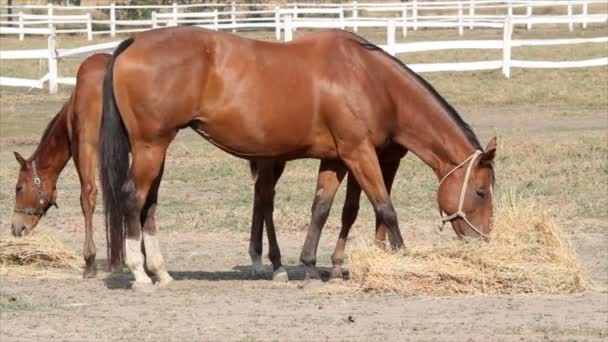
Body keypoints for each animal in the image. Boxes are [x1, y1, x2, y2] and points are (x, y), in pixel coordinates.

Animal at [10, 53, 113, 278]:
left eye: (19, 188)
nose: (16, 227)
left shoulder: (80, 148)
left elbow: (87, 196)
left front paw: (90, 260)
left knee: (89, 195)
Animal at [100, 26, 496, 290]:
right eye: (480, 191)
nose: (483, 242)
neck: (370, 79)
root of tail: (134, 42)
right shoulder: (359, 153)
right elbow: (385, 208)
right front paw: (401, 259)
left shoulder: (337, 159)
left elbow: (322, 208)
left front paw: (310, 267)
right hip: (151, 146)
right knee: (133, 198)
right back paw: (140, 274)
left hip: (157, 149)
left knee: (150, 203)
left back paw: (162, 272)